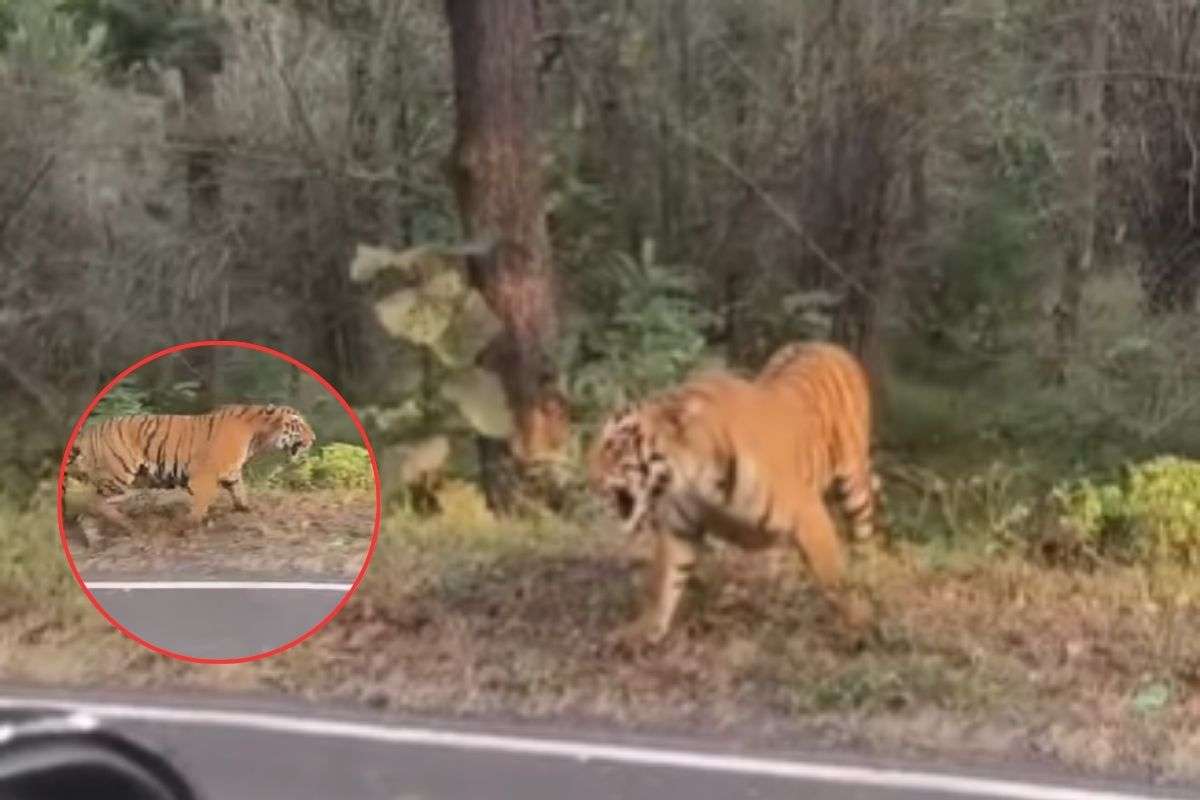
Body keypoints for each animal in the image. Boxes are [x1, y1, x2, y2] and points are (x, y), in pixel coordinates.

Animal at [66, 403, 316, 534]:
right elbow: (200, 506)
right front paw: (185, 527)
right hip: (119, 473)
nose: (313, 438)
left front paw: (247, 510)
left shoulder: (232, 474)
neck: (258, 436)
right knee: (95, 503)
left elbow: (240, 494)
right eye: (299, 424)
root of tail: (89, 431)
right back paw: (127, 525)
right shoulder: (204, 477)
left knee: (89, 509)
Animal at [586, 340, 879, 646]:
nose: (589, 478)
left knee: (863, 535)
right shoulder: (680, 527)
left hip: (854, 483)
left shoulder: (808, 514)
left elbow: (835, 580)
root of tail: (826, 345)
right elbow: (663, 583)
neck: (693, 478)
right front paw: (642, 631)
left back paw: (866, 577)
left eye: (615, 447)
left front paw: (858, 625)